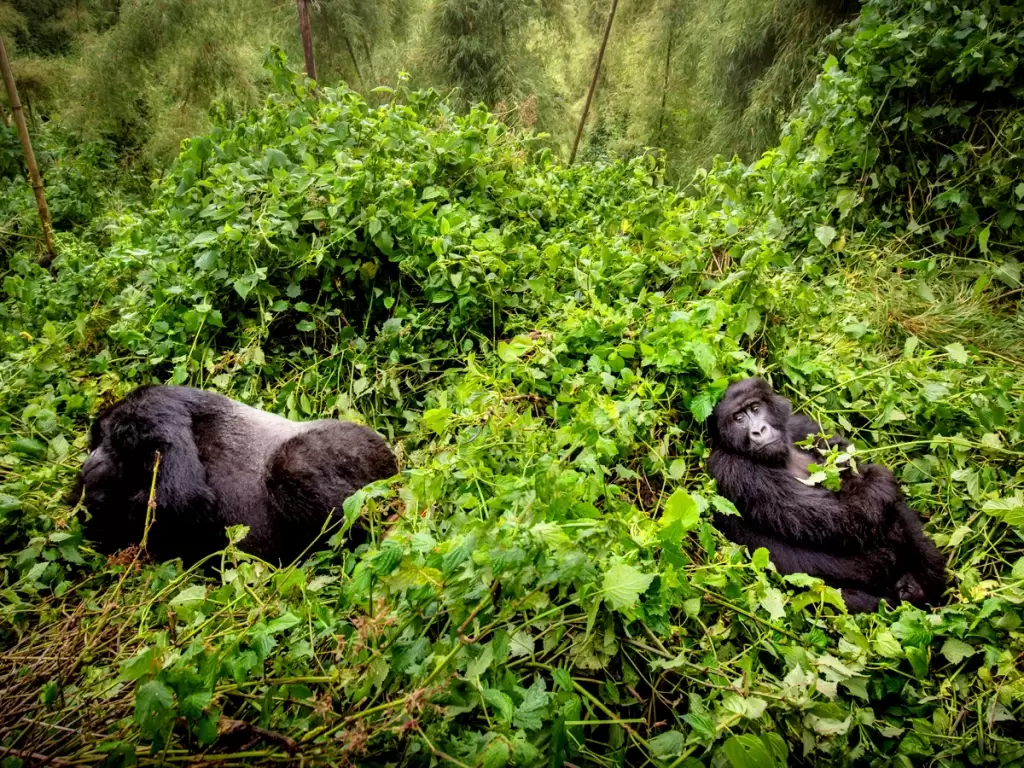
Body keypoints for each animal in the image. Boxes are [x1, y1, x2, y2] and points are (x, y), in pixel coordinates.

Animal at [70, 387, 397, 569]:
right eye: (92, 443)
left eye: (101, 440)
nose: (90, 459)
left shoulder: (151, 406)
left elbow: (183, 498)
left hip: (363, 453)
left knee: (291, 466)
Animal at [708, 376, 946, 614]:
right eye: (738, 418)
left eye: (756, 408)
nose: (758, 430)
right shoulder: (735, 469)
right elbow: (841, 516)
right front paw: (881, 479)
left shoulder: (802, 427)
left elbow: (847, 466)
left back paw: (920, 585)